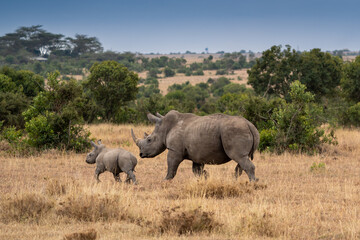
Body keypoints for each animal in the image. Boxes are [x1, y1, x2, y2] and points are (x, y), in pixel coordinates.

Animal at [131, 110, 260, 182]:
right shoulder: (197, 153)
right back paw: (235, 181)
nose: (141, 154)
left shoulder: (174, 150)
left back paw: (252, 183)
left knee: (239, 157)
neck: (164, 127)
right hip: (239, 130)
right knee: (242, 159)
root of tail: (250, 125)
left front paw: (165, 180)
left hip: (235, 131)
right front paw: (206, 177)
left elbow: (171, 166)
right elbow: (196, 170)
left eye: (149, 140)